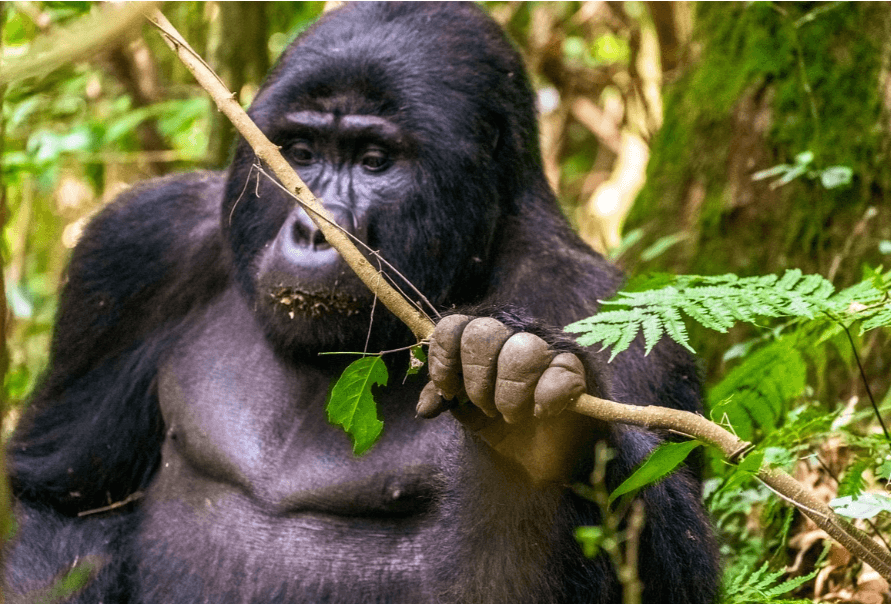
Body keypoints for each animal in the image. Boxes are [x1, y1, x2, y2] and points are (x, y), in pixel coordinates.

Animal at [3, 4, 720, 604]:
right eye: (298, 153)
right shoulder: (136, 249)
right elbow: (63, 499)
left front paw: (542, 419)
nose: (314, 231)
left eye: (375, 161)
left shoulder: (603, 306)